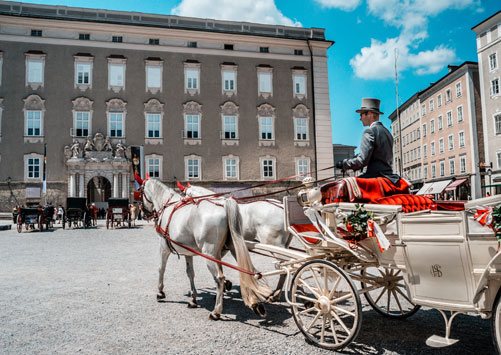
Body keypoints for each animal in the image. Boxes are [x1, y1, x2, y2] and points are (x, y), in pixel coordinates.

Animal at [137, 178, 270, 320]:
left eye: (140, 191)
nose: (144, 214)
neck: (166, 205)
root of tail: (223, 205)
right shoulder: (188, 252)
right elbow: (190, 273)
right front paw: (193, 298)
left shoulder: (163, 247)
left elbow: (161, 269)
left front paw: (160, 292)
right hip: (233, 247)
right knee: (247, 271)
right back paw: (255, 303)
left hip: (210, 254)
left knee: (219, 278)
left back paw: (216, 311)